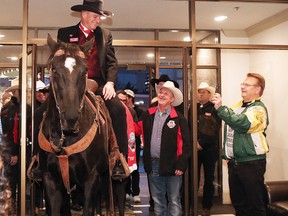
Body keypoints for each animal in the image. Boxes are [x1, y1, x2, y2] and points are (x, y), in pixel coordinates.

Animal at [38, 34, 117, 215]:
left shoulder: (91, 179)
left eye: (85, 70)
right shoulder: (50, 179)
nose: (71, 118)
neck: (65, 139)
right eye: (54, 69)